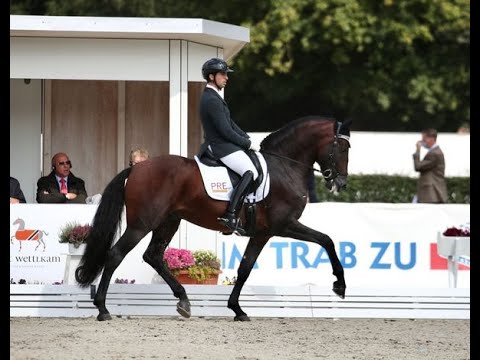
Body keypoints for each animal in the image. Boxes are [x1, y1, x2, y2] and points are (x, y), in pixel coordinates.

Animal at [76, 115, 352, 320]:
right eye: (343, 147)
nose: (341, 183)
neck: (284, 167)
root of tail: (136, 169)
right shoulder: (284, 225)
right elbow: (326, 240)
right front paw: (340, 286)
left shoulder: (262, 233)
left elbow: (245, 268)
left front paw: (237, 310)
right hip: (142, 223)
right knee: (116, 254)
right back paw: (103, 309)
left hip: (168, 221)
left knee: (153, 256)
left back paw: (184, 301)